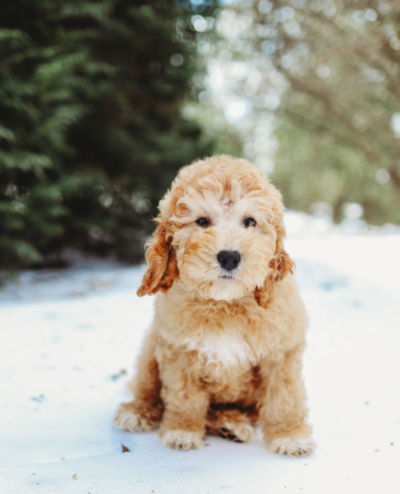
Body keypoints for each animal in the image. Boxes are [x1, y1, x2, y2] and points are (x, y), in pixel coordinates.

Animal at [114, 156, 314, 458]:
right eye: (202, 221)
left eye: (250, 222)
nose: (229, 257)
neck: (224, 303)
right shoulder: (178, 349)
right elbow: (184, 395)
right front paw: (182, 430)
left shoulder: (281, 352)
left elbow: (284, 395)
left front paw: (289, 436)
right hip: (150, 348)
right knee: (146, 388)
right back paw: (137, 412)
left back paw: (231, 424)